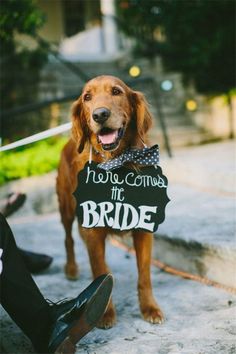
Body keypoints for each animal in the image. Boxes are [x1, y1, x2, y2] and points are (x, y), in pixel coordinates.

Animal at [57, 74, 164, 330]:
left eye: (116, 91)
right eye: (87, 97)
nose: (100, 114)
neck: (117, 164)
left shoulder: (143, 228)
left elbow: (144, 275)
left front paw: (149, 308)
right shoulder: (93, 230)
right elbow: (100, 270)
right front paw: (104, 313)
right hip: (66, 209)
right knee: (68, 238)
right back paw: (71, 268)